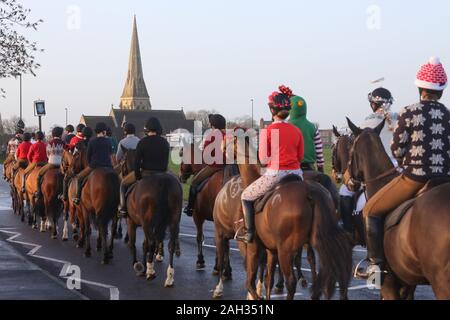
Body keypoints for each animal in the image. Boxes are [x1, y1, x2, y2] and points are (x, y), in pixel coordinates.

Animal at [213, 136, 354, 300]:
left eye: (225, 141)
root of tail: (310, 190)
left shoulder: (253, 247)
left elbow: (250, 282)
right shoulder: (271, 250)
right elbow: (268, 279)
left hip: (285, 250)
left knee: (291, 281)